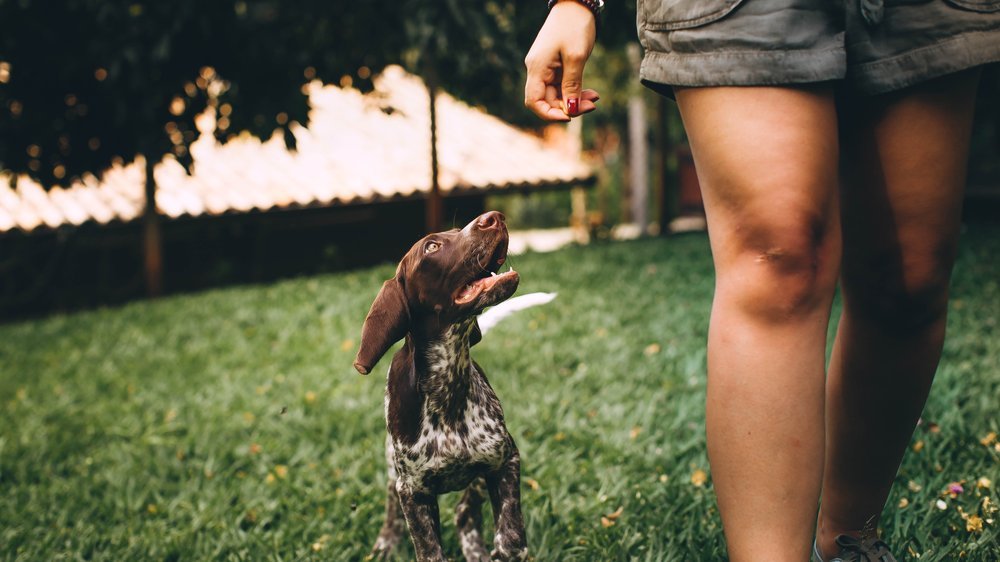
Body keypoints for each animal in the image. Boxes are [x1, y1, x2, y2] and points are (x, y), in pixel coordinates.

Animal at [360, 211, 532, 560]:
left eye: (455, 230)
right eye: (432, 247)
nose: (493, 217)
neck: (448, 387)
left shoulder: (504, 459)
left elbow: (510, 537)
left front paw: (503, 548)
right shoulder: (413, 491)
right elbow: (429, 549)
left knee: (465, 514)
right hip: (392, 466)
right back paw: (387, 540)